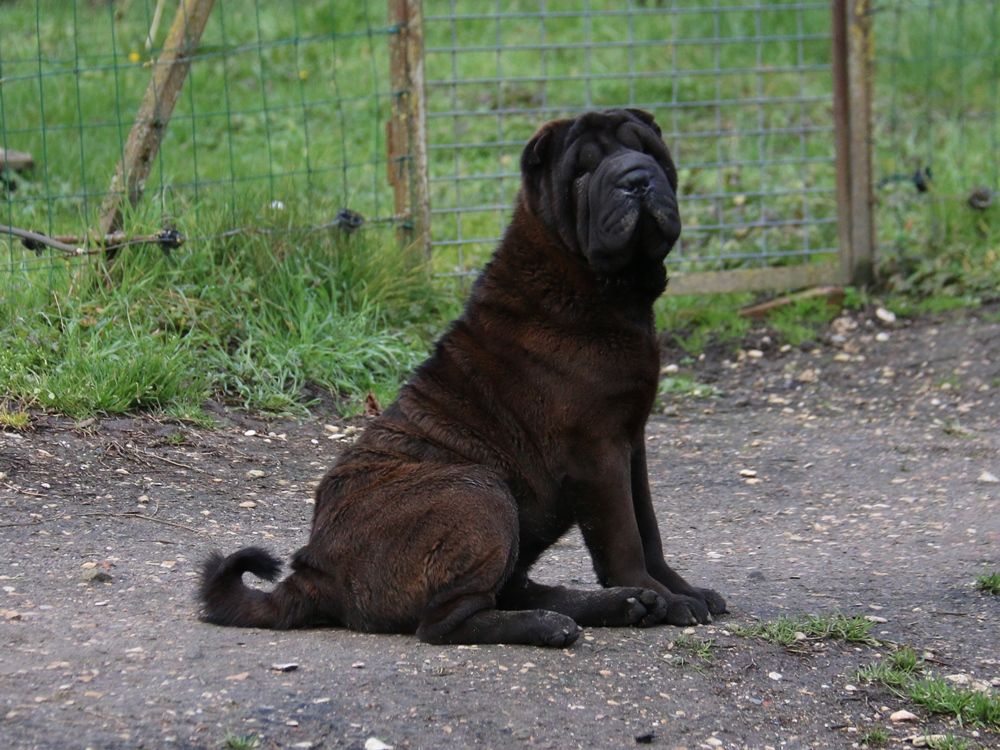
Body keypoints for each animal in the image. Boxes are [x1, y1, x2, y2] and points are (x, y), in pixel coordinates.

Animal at [197, 108, 728, 648]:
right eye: (582, 172)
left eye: (647, 151)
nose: (637, 177)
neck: (588, 281)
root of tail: (314, 570)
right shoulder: (598, 451)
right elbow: (624, 537)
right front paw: (667, 598)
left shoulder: (631, 442)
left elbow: (648, 526)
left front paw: (677, 590)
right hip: (478, 492)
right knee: (447, 621)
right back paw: (560, 622)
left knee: (510, 589)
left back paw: (626, 605)